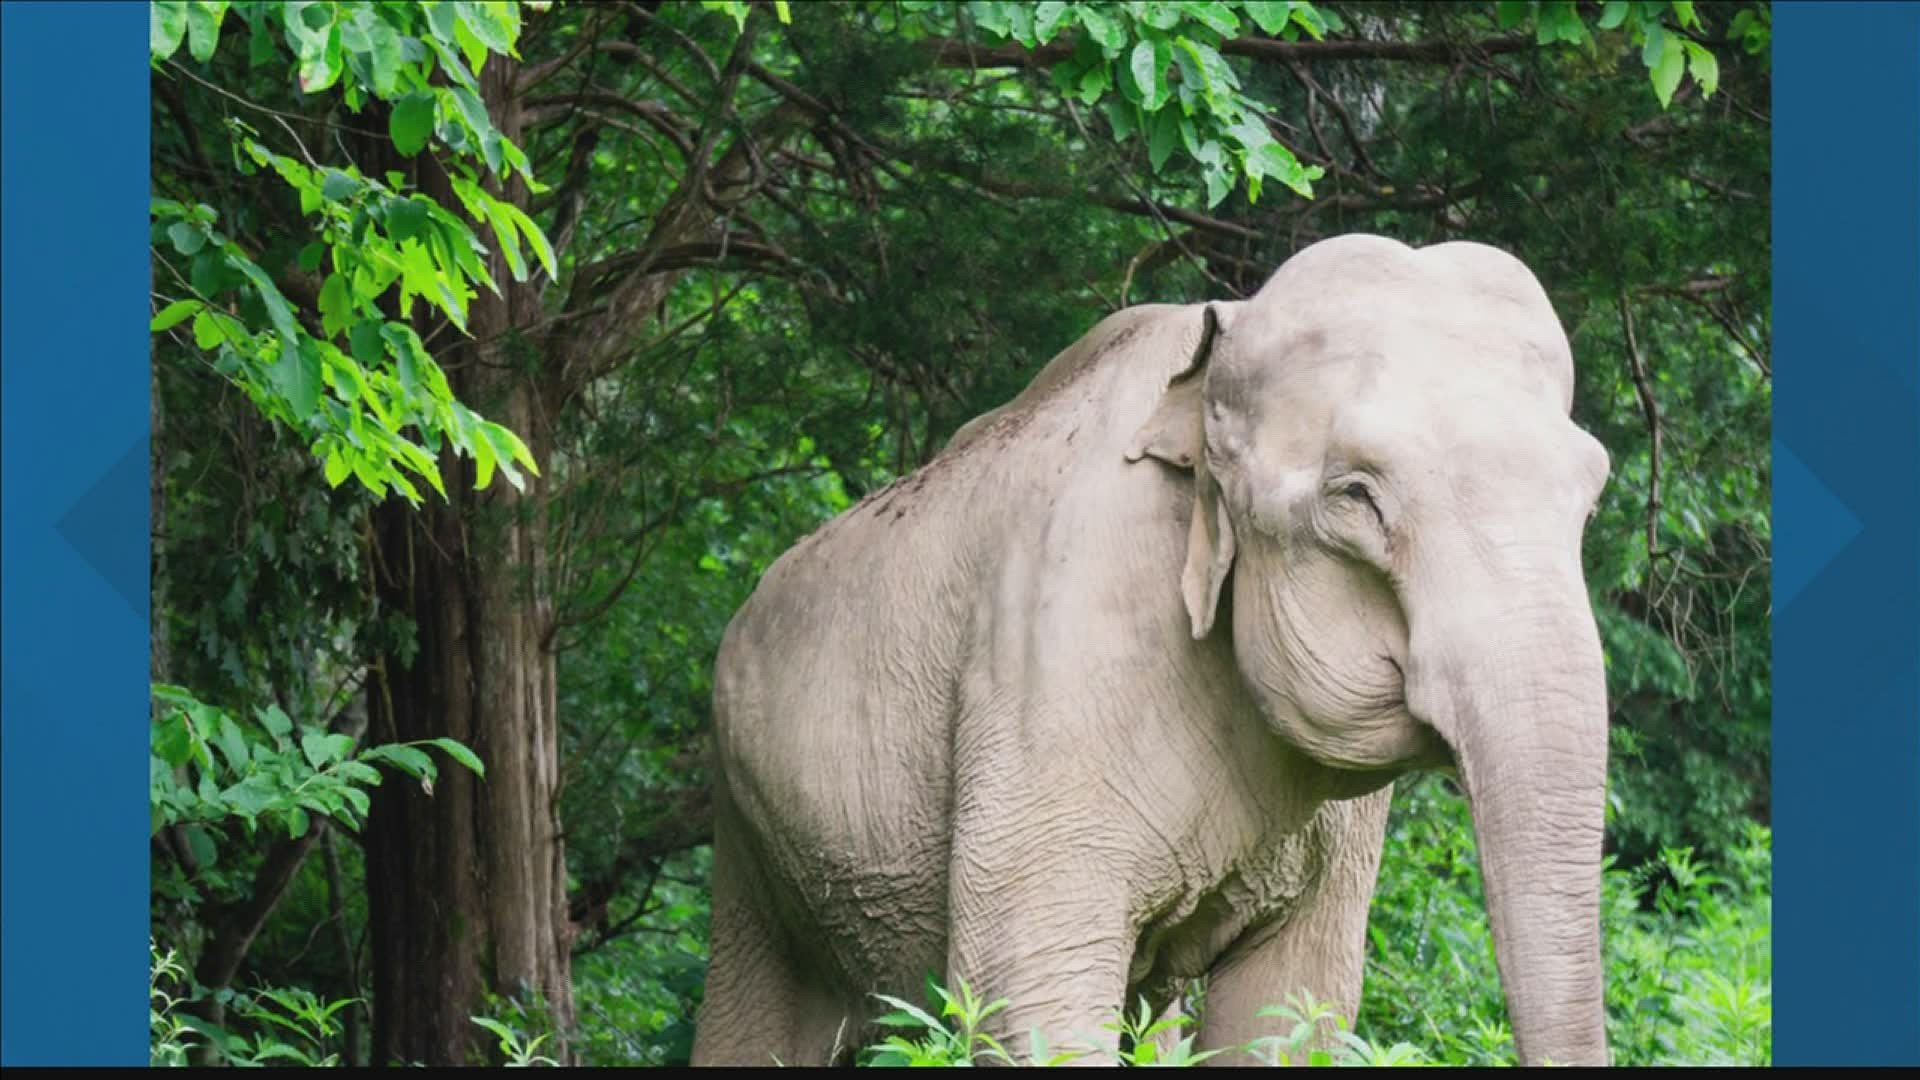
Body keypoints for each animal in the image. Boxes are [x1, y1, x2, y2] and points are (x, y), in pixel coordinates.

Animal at [691, 231, 1620, 1060]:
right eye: (1357, 497)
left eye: (1592, 495)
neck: (1211, 351)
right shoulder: (1059, 638)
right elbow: (1023, 979)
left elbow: (1297, 1002)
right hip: (750, 847)